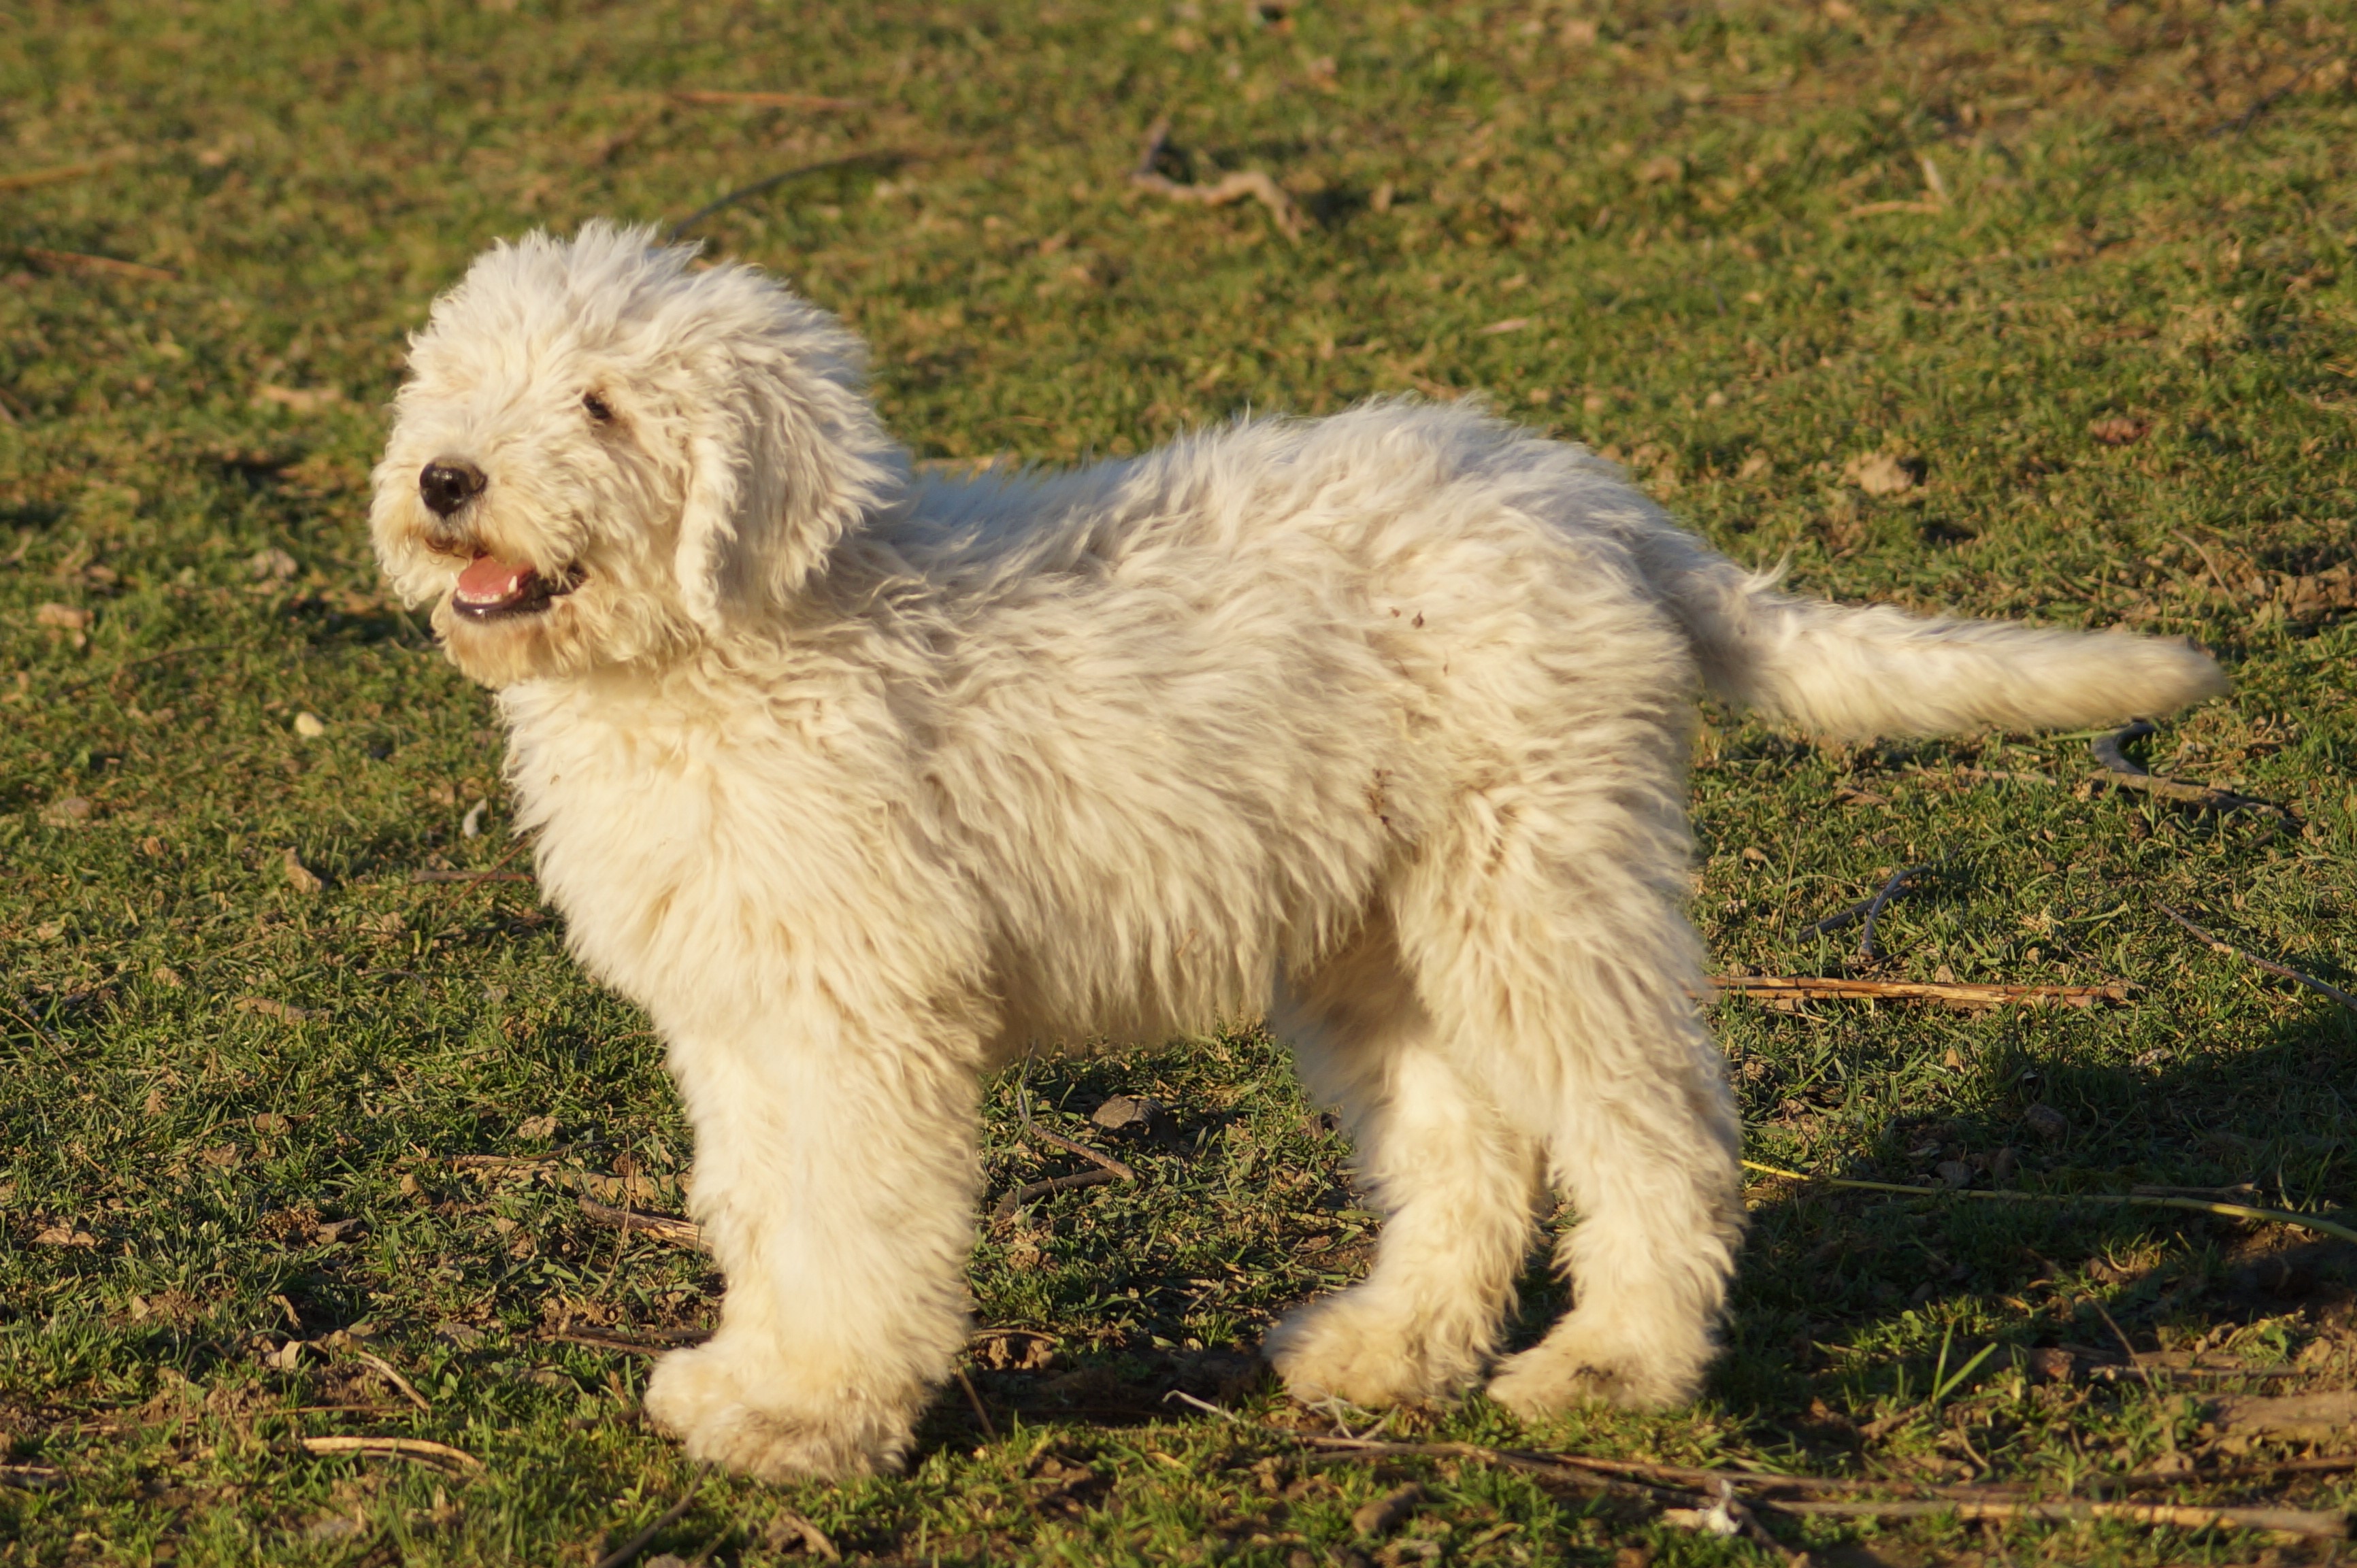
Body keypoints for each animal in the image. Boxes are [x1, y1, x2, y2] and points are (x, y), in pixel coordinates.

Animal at [367, 222, 2225, 1480]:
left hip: (1535, 885)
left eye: (603, 404)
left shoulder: (855, 1019)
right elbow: (763, 1209)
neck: (729, 649)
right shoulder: (741, 1020)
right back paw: (1393, 1349)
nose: (445, 478)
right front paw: (752, 1378)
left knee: (1653, 1126)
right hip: (1379, 935)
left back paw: (1616, 1366)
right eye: (454, 387)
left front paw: (816, 1414)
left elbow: (849, 1220)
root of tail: (1586, 500)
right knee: (1466, 1147)